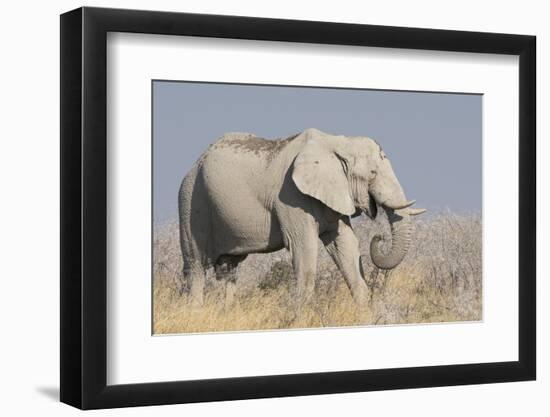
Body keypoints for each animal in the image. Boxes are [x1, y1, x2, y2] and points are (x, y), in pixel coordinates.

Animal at [178, 128, 426, 308]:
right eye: (373, 174)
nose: (379, 238)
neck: (337, 143)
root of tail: (194, 164)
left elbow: (345, 245)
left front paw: (364, 311)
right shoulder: (291, 195)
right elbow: (303, 246)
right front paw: (300, 315)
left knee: (228, 269)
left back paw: (226, 311)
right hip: (191, 200)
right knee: (196, 266)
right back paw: (196, 312)